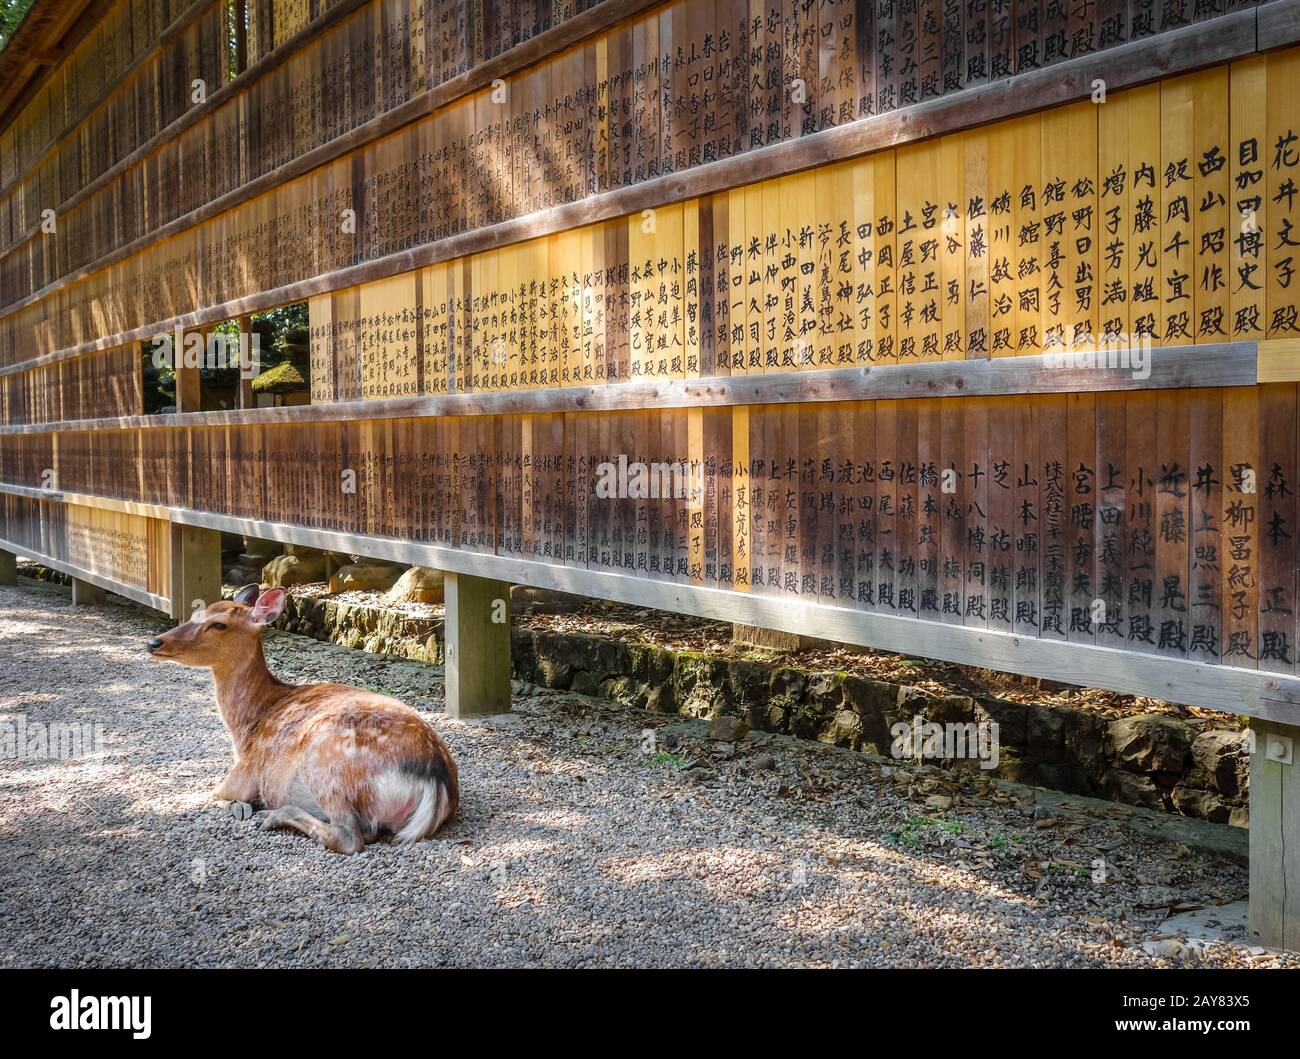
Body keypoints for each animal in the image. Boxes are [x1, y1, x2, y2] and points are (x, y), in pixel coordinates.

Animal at [145, 584, 460, 857]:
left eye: (219, 624)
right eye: (196, 614)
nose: (153, 642)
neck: (246, 727)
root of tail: (435, 778)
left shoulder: (241, 775)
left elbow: (219, 796)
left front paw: (242, 808)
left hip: (327, 768)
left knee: (349, 836)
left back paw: (272, 814)